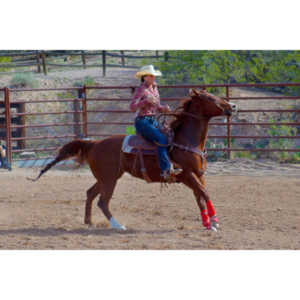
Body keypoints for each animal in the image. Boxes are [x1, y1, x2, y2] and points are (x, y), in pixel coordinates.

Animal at [29, 88, 237, 231]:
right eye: (210, 98)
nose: (233, 106)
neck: (184, 141)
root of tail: (94, 143)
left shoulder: (198, 175)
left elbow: (200, 196)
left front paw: (209, 223)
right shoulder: (187, 175)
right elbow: (204, 193)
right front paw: (214, 222)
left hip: (106, 177)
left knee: (90, 193)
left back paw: (89, 222)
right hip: (109, 179)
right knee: (103, 201)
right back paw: (118, 225)